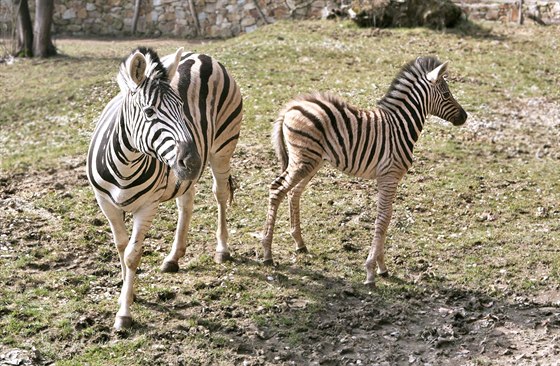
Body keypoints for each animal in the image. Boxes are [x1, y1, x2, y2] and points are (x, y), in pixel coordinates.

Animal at [87, 46, 243, 328]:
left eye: (182, 108)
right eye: (149, 112)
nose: (193, 161)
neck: (126, 163)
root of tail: (200, 55)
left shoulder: (147, 207)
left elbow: (132, 254)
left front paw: (124, 311)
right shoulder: (105, 203)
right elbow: (120, 247)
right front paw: (129, 292)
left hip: (222, 148)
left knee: (220, 194)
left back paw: (222, 249)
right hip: (187, 174)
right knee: (186, 203)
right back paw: (174, 257)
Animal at [262, 56, 468, 286]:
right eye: (446, 94)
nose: (465, 116)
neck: (400, 125)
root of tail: (292, 106)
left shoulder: (387, 178)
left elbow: (386, 217)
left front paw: (381, 267)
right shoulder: (389, 176)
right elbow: (384, 218)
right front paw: (371, 271)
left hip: (311, 161)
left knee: (293, 193)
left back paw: (299, 243)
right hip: (303, 160)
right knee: (277, 189)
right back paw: (267, 253)